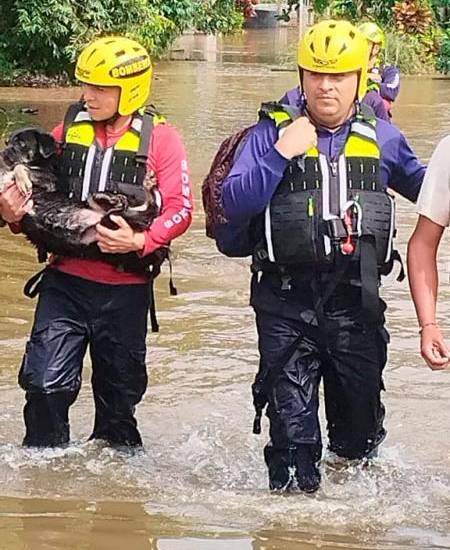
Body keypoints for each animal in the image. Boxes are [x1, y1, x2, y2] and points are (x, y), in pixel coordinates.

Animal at [0, 128, 165, 274]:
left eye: (21, 143)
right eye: (7, 142)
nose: (2, 153)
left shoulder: (51, 180)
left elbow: (21, 167)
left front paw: (20, 179)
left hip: (105, 211)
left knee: (151, 207)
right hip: (109, 223)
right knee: (146, 210)